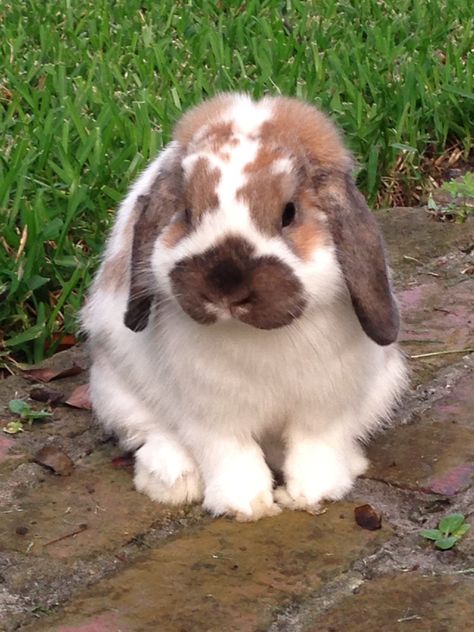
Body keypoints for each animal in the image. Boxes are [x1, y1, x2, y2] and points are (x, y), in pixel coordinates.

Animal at [81, 91, 408, 520]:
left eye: (289, 213)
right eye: (187, 212)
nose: (225, 288)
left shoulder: (326, 406)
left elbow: (315, 446)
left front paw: (311, 494)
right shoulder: (213, 413)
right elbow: (230, 453)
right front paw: (246, 505)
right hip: (114, 388)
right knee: (150, 432)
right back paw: (172, 480)